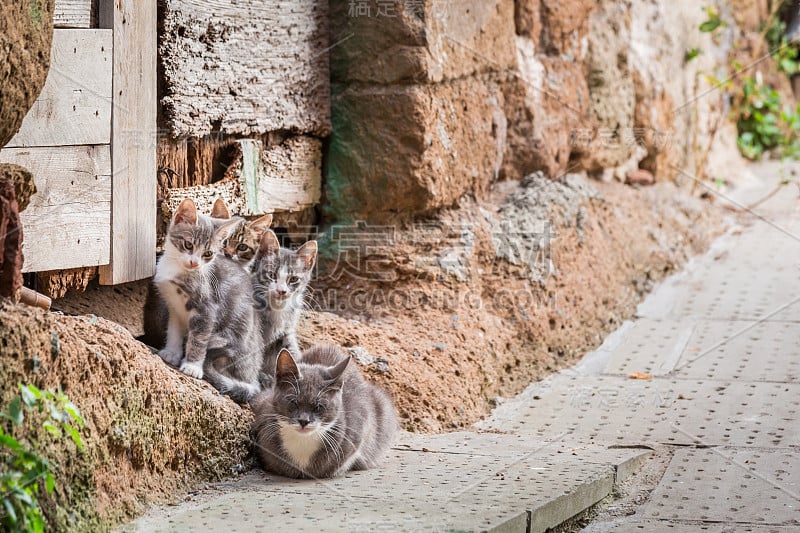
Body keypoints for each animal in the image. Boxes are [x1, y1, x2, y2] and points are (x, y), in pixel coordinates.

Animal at [152, 197, 260, 402]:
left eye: (208, 254)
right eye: (188, 245)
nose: (194, 263)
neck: (178, 269)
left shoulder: (207, 308)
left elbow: (199, 338)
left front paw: (192, 366)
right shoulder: (174, 306)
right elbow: (174, 330)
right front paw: (172, 352)